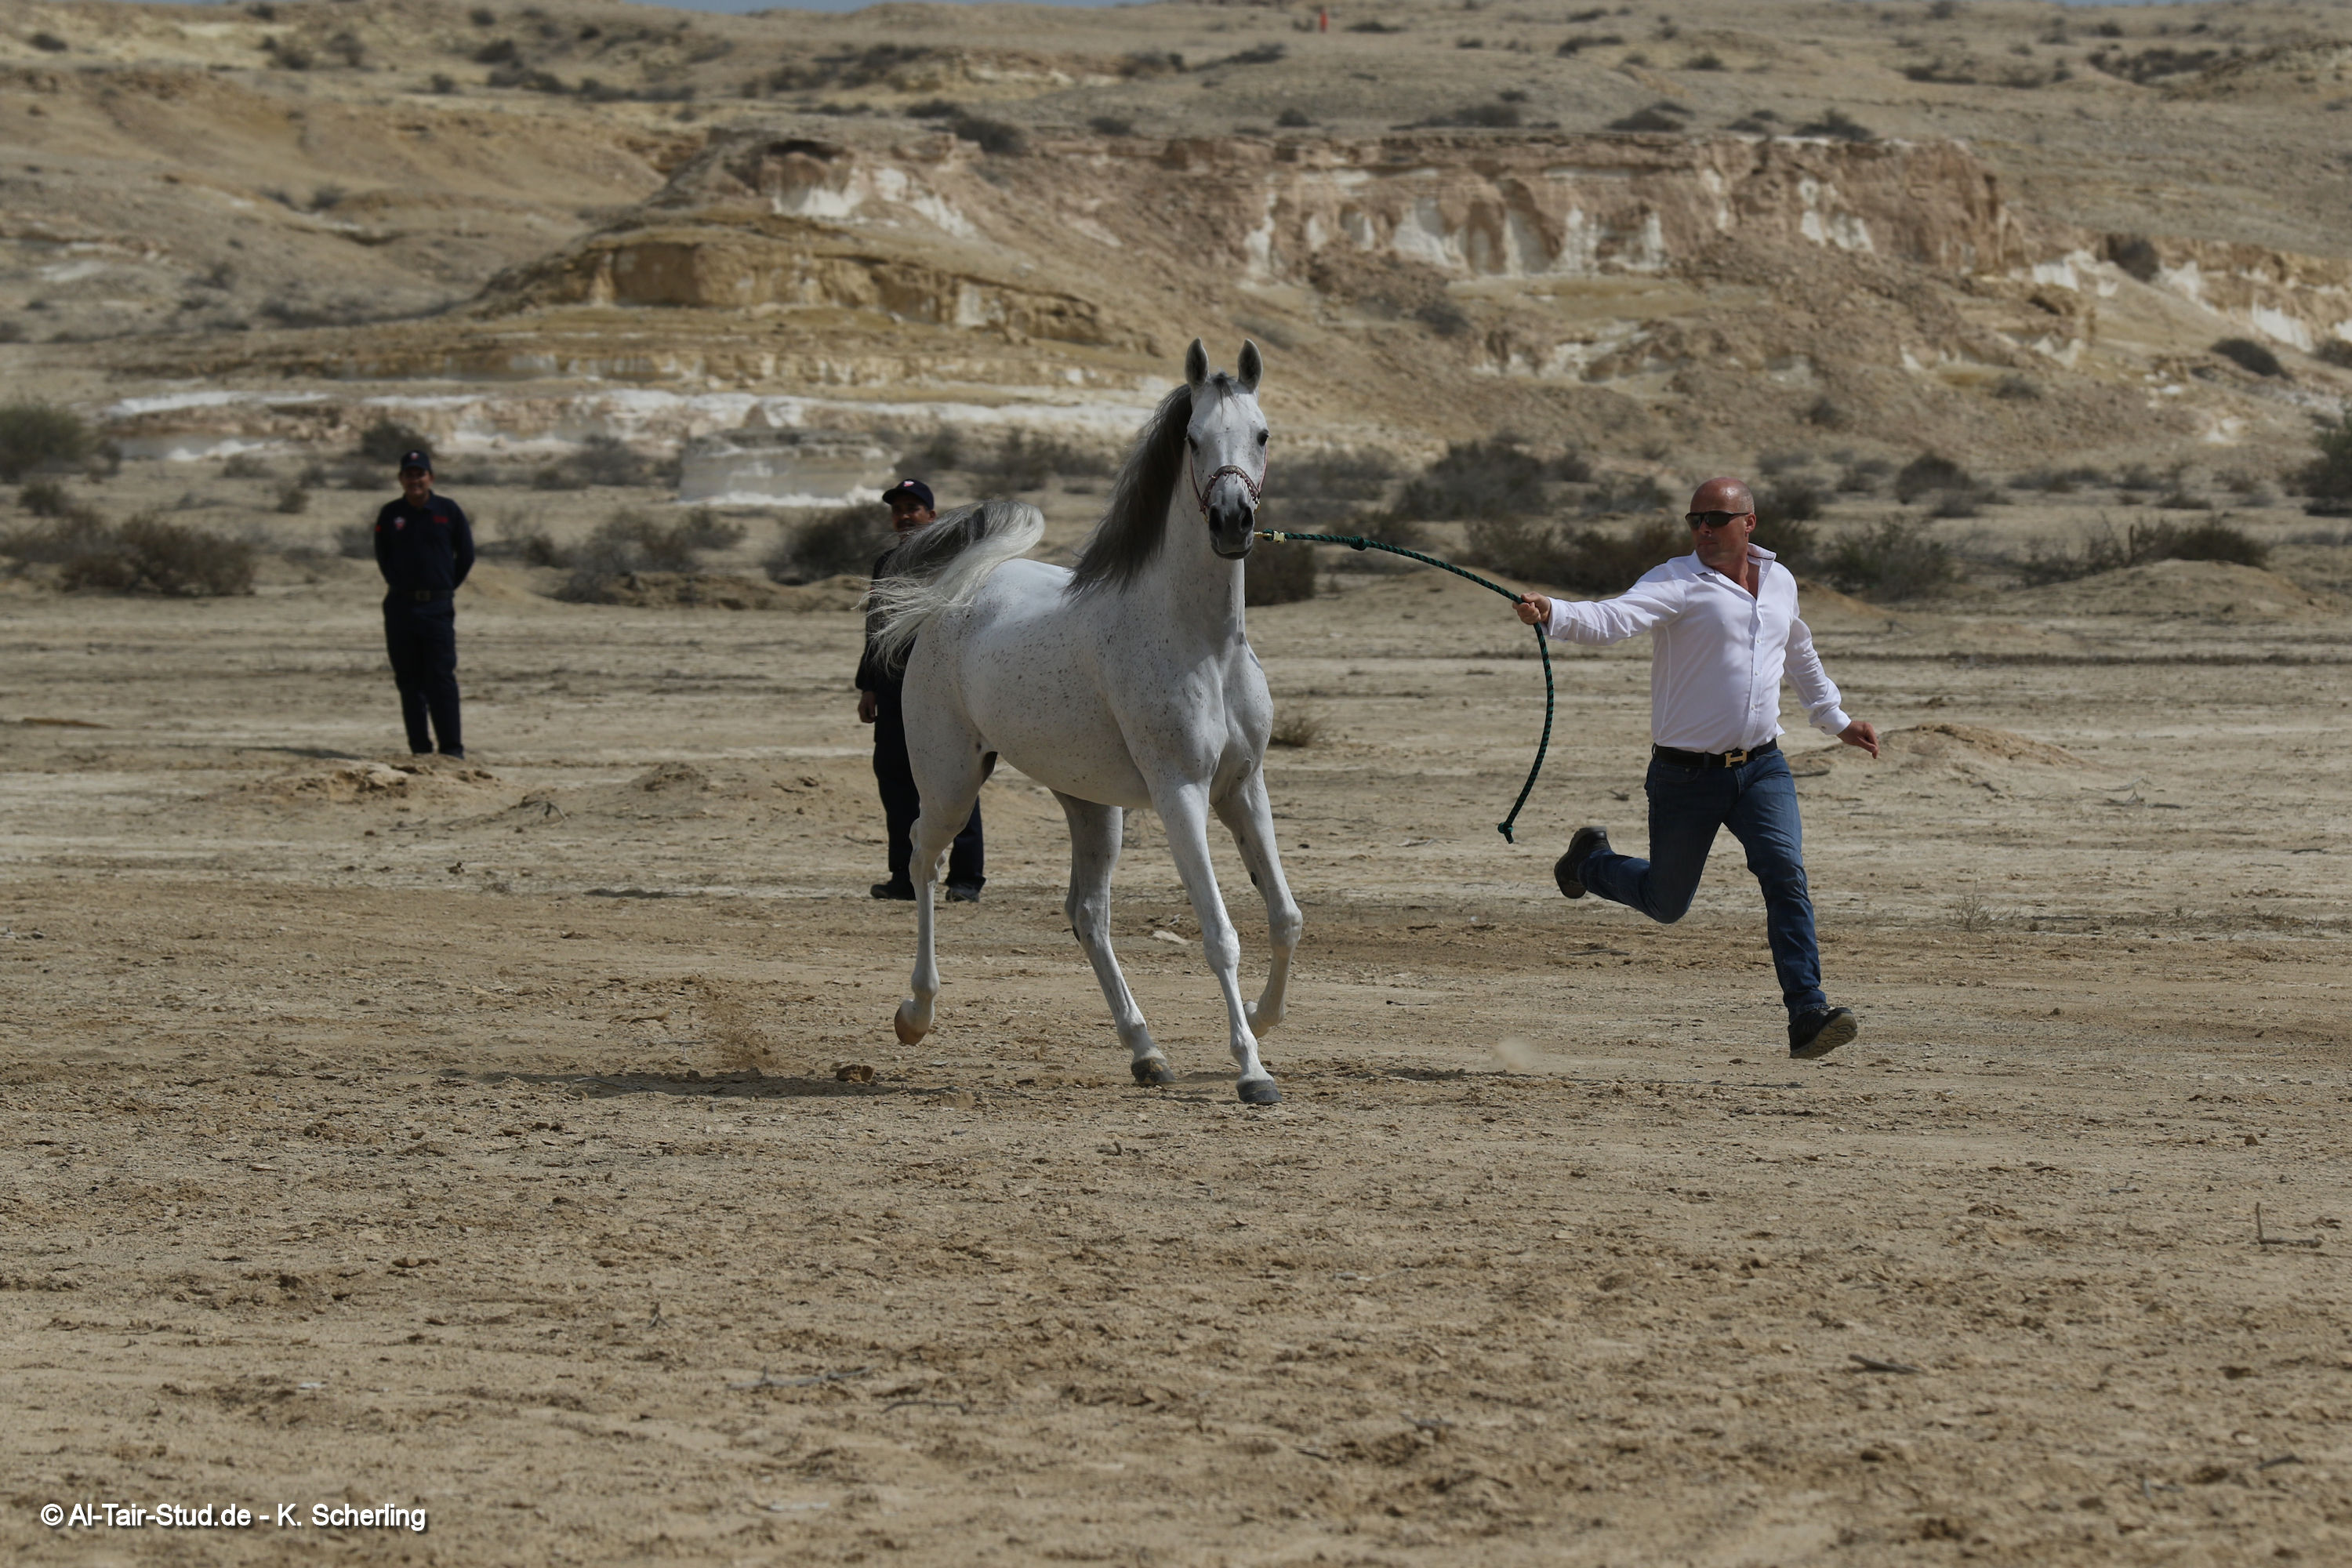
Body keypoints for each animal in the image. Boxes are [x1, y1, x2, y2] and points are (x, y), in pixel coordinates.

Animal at [866, 339, 1299, 1105]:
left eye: (1263, 433)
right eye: (1193, 438)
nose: (1232, 523)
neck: (1202, 640)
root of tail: (963, 595)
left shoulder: (1243, 788)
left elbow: (1283, 917)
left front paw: (1261, 1017)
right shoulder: (1181, 793)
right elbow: (1220, 933)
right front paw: (1252, 1069)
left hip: (1092, 807)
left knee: (1087, 915)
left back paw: (1146, 1051)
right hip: (950, 782)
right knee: (922, 856)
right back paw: (916, 1012)